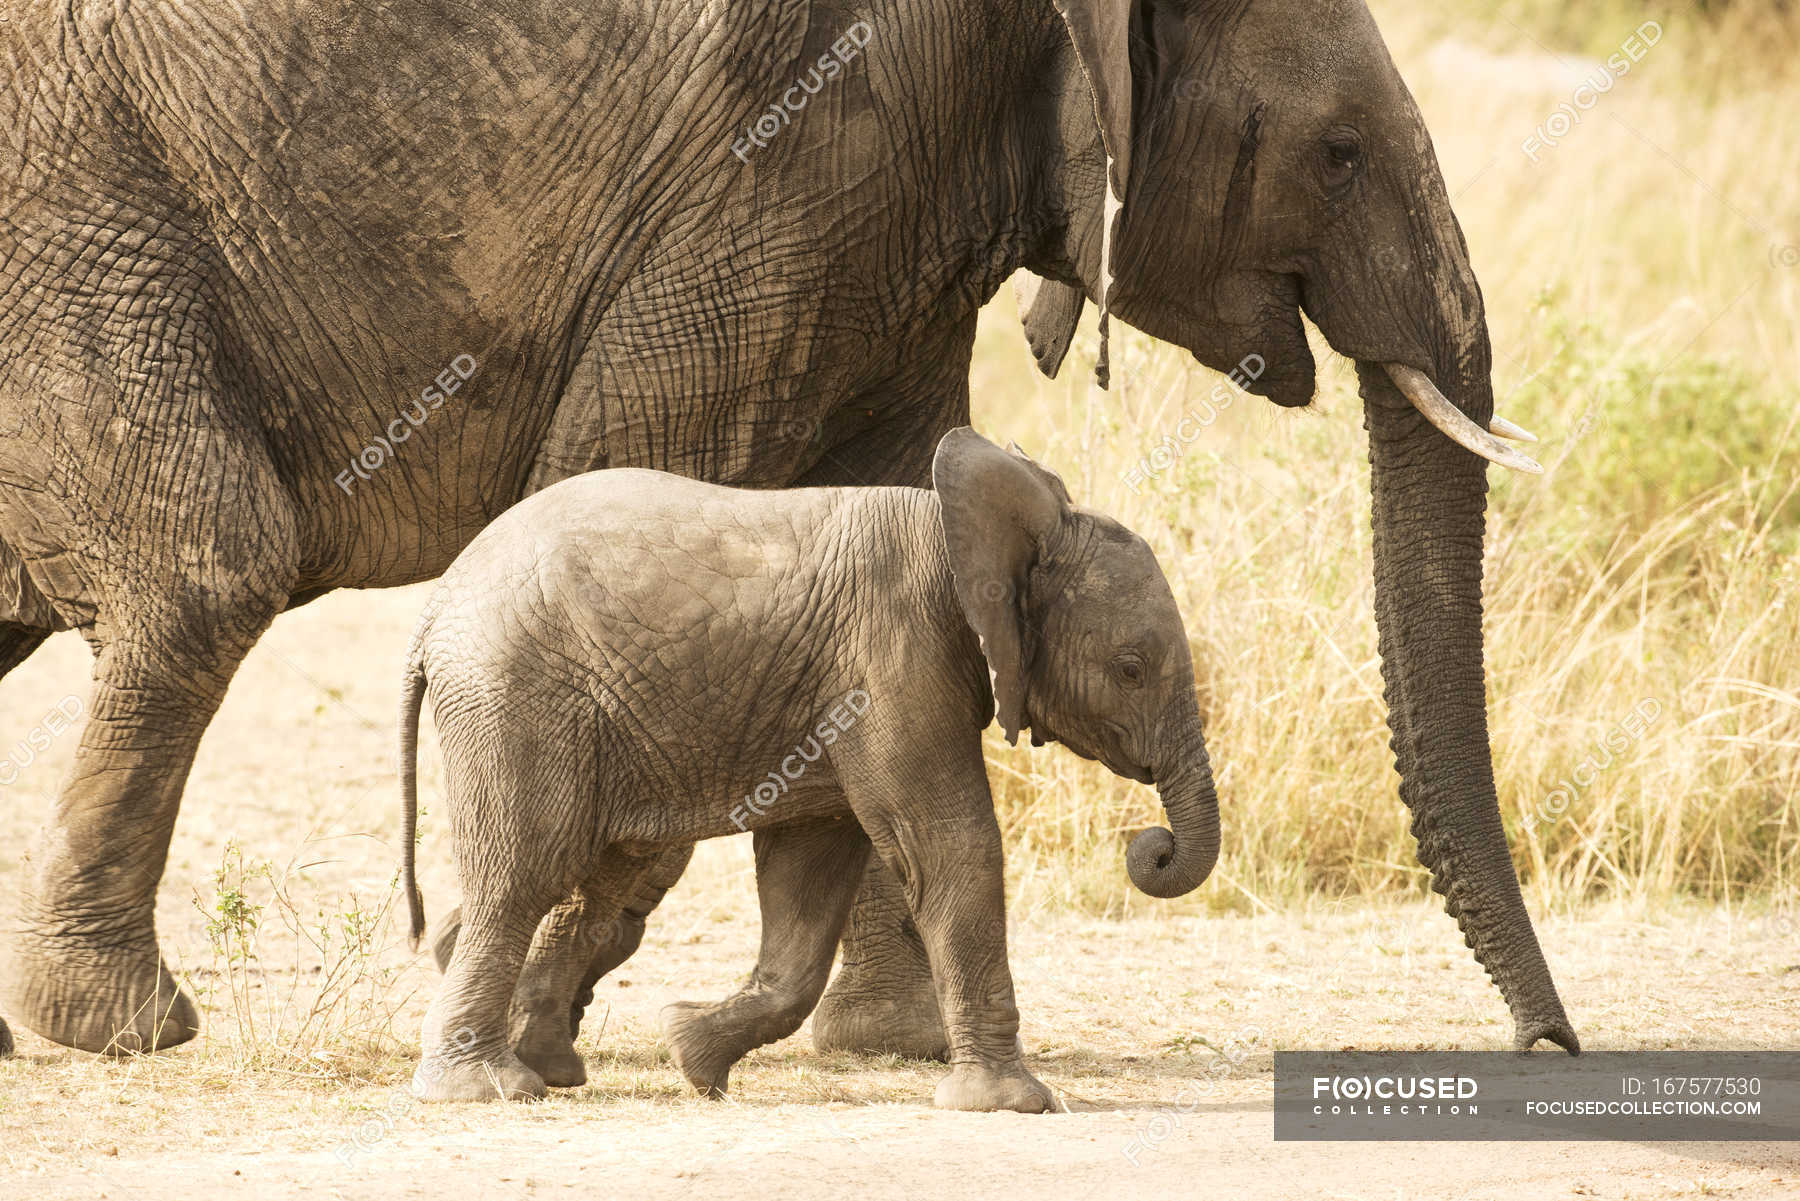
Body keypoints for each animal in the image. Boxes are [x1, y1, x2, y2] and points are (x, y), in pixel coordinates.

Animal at [403, 426, 1224, 1116]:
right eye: (1131, 669)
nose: (1151, 847)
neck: (962, 536)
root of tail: (434, 608)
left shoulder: (840, 692)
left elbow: (810, 874)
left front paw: (693, 1054)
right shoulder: (892, 658)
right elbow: (949, 845)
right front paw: (1010, 1104)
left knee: (603, 876)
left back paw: (553, 1067)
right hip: (516, 695)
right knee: (522, 872)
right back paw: (488, 1087)